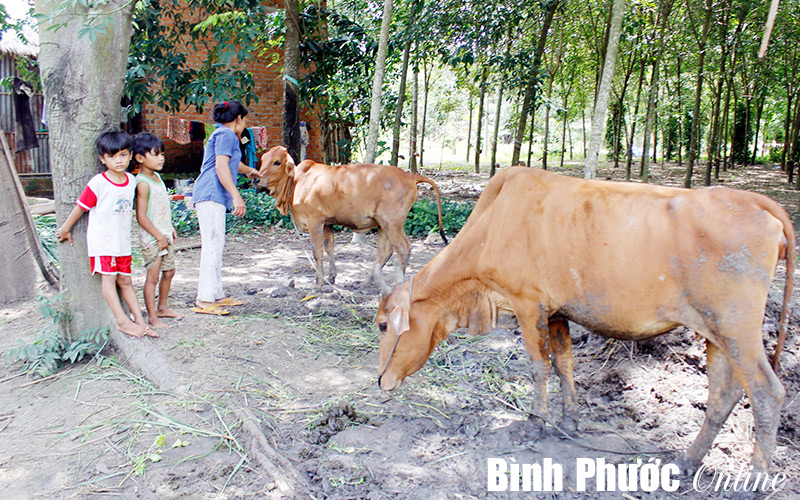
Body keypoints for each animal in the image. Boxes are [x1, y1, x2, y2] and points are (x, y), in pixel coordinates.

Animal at [256, 145, 446, 292]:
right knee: (385, 252)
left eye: (277, 162)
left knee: (404, 248)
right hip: (383, 224)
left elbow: (317, 252)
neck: (296, 182)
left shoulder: (314, 221)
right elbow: (329, 248)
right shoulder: (328, 223)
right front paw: (331, 278)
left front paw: (318, 285)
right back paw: (366, 282)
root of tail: (409, 175)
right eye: (263, 159)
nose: (256, 179)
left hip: (392, 223)